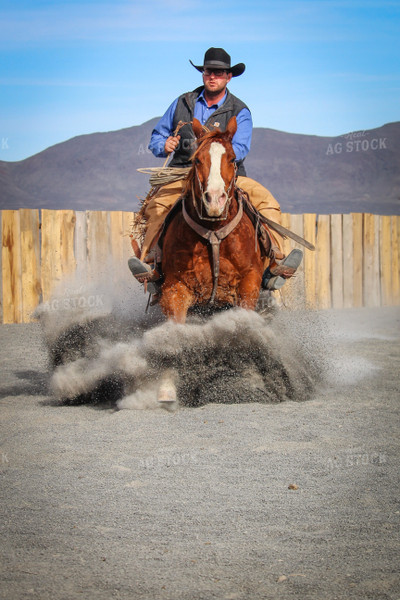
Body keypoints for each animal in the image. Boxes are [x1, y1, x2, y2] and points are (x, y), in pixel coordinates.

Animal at [158, 115, 268, 326]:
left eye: (232, 158)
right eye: (197, 160)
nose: (215, 199)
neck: (214, 231)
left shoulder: (249, 282)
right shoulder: (174, 287)